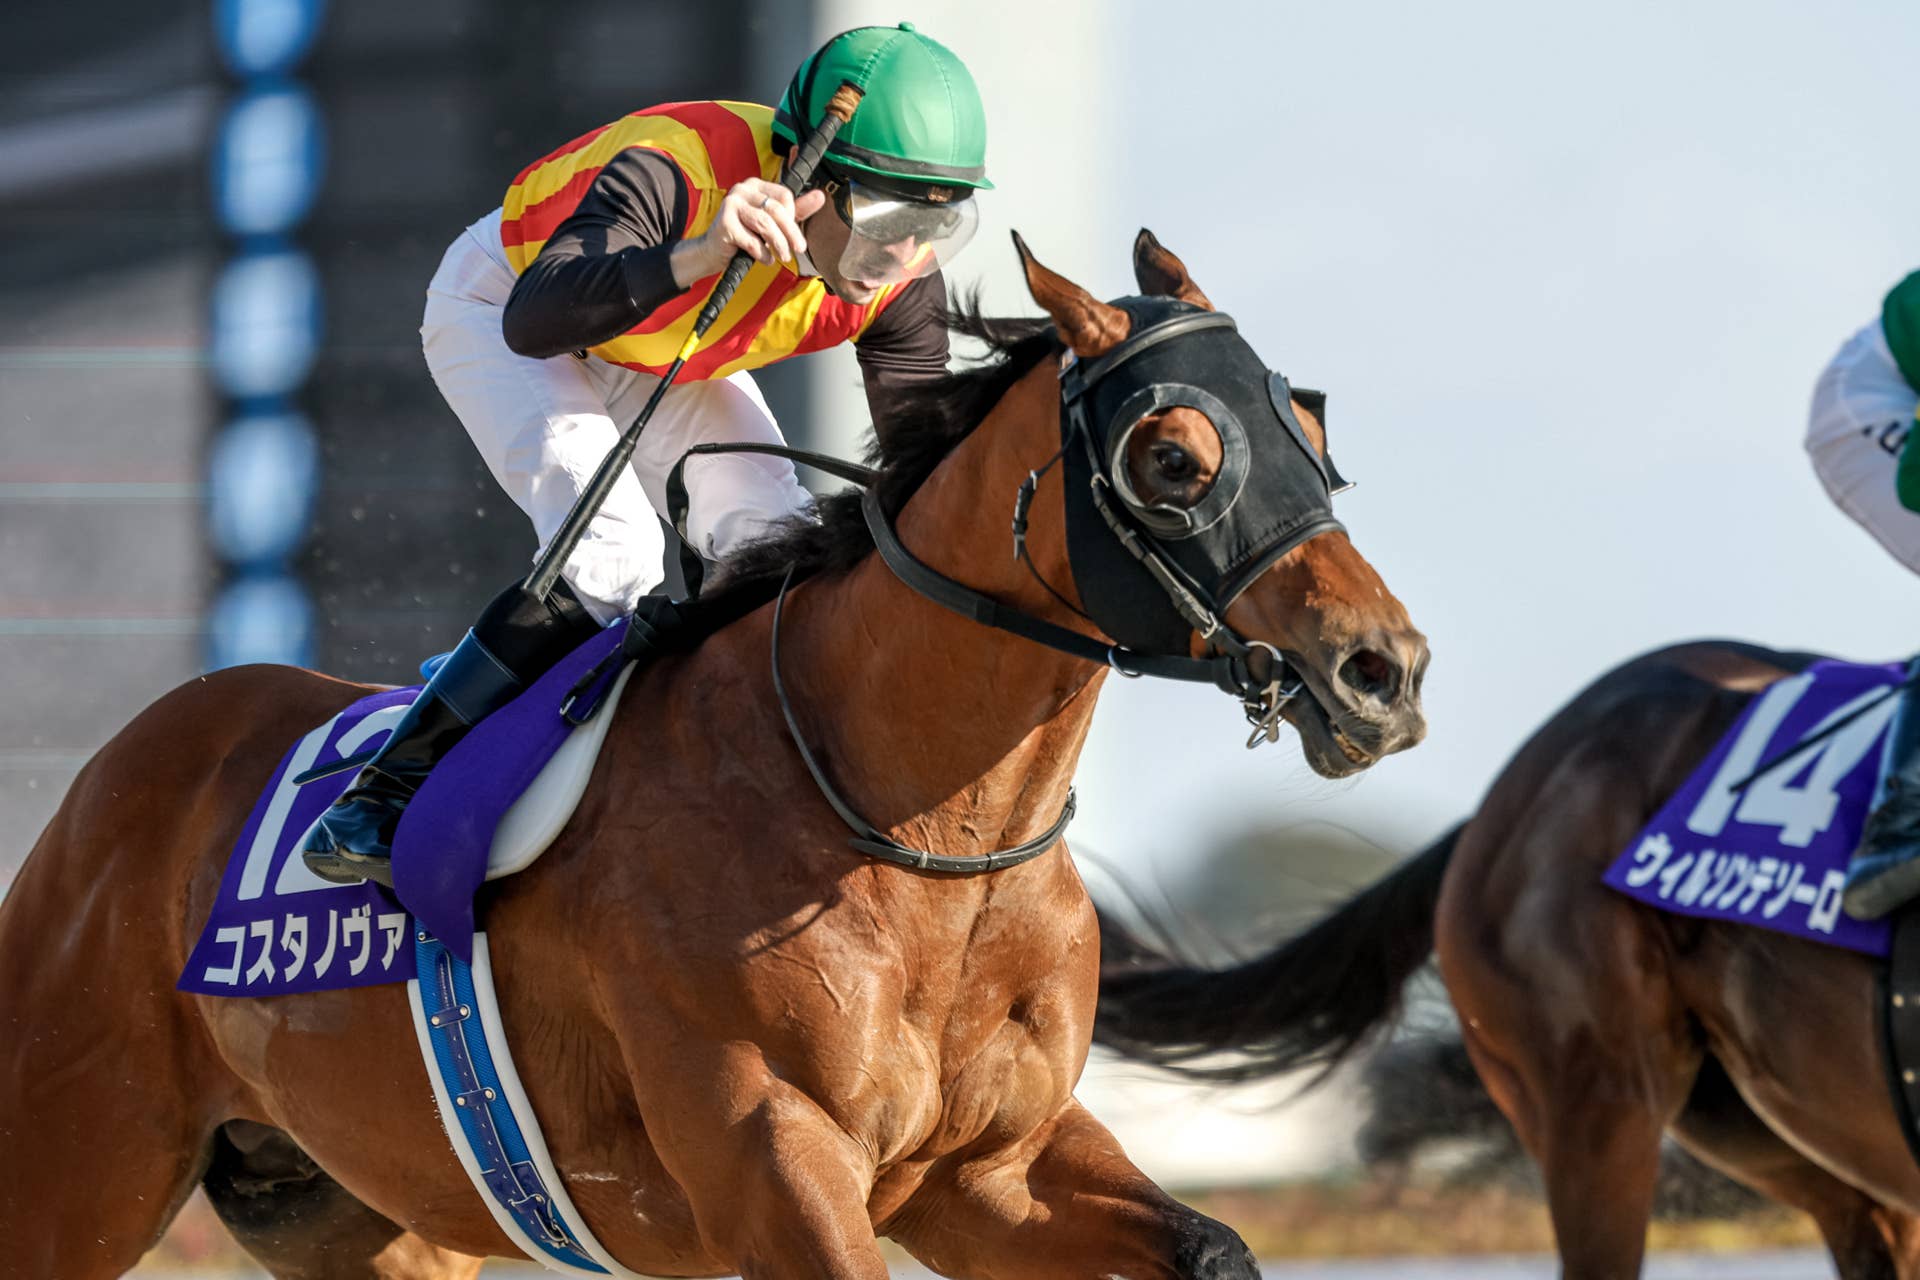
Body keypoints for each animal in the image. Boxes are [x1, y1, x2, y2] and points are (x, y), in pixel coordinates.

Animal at [0, 230, 1428, 1280]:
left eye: (1308, 431)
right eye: (1174, 457)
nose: (1383, 670)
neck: (917, 829)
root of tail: (112, 779)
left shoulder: (988, 1172)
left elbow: (1208, 1243)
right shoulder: (772, 1160)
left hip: (355, 1204)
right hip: (77, 1163)